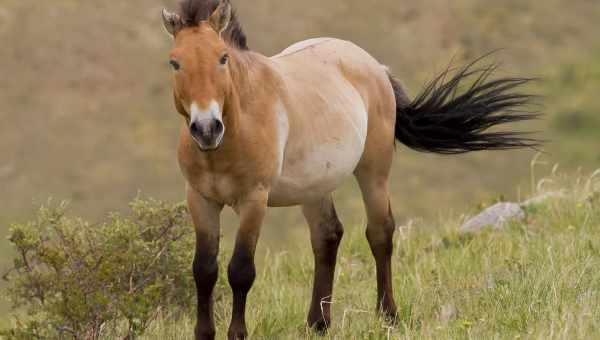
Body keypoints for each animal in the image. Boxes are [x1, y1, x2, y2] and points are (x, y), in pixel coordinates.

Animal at [159, 1, 540, 338]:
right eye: (174, 63)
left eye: (222, 58)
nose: (207, 128)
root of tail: (375, 65)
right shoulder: (200, 200)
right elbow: (204, 270)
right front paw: (203, 334)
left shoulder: (254, 200)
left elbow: (240, 270)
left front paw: (237, 334)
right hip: (313, 187)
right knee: (326, 237)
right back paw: (317, 325)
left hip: (374, 171)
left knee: (380, 234)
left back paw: (388, 316)